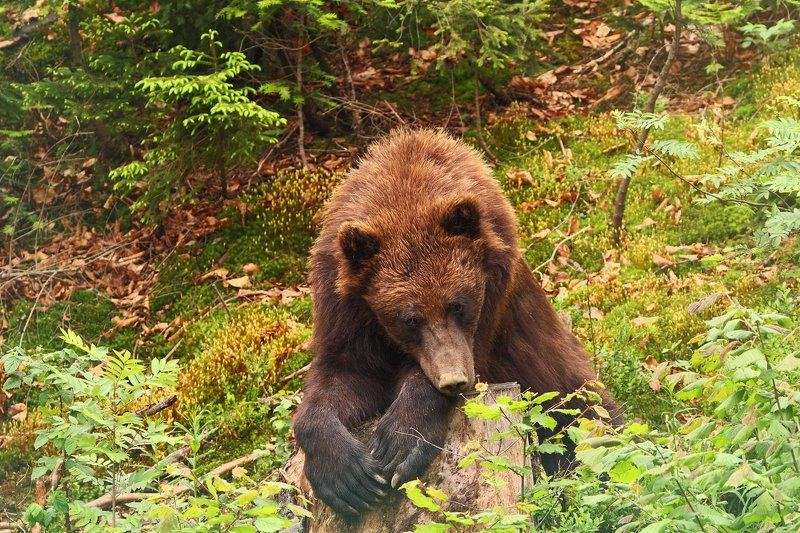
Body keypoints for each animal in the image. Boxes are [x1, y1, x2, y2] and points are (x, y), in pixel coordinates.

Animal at [293, 128, 620, 518]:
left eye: (458, 304)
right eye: (410, 318)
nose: (453, 380)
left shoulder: (492, 302)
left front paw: (400, 444)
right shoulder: (346, 312)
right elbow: (340, 378)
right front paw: (347, 477)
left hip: (561, 380)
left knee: (588, 426)